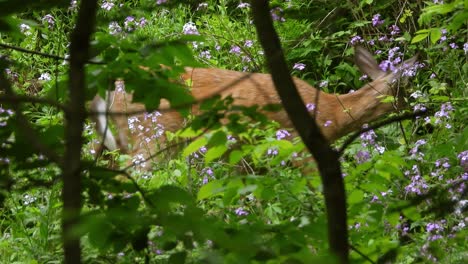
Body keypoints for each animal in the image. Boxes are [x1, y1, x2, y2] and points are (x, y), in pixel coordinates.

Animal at [90, 47, 416, 171]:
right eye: (404, 91)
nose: (414, 111)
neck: (332, 114)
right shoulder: (297, 146)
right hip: (152, 137)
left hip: (113, 141)